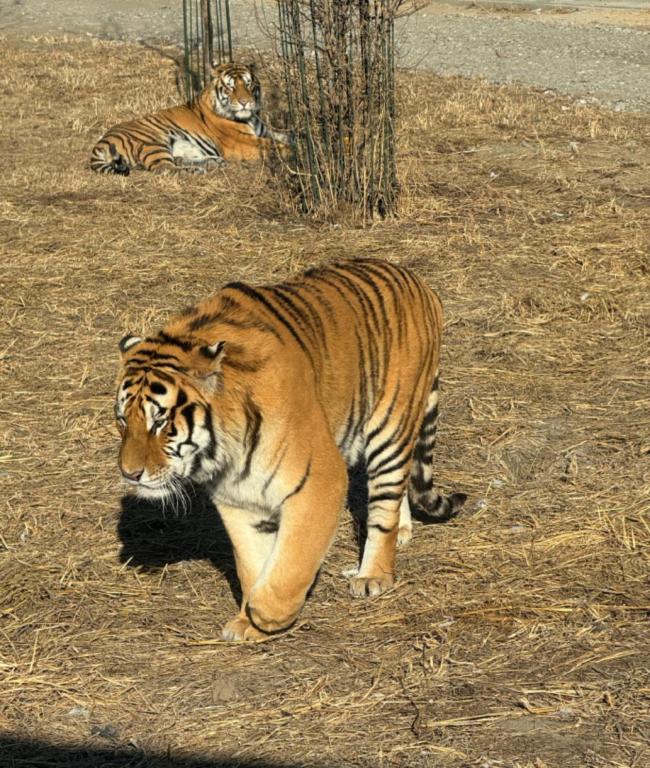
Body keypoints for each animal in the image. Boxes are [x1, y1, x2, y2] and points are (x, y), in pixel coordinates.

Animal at [90, 62, 291, 175]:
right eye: (230, 87)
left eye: (248, 84)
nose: (245, 102)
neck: (250, 118)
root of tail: (100, 142)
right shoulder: (243, 142)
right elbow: (275, 146)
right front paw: (294, 152)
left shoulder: (265, 131)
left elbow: (286, 136)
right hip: (152, 141)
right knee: (164, 169)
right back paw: (195, 170)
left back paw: (212, 162)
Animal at [115, 259, 466, 641]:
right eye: (122, 420)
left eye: (160, 422)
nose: (129, 474)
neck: (224, 453)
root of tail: (417, 282)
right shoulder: (238, 498)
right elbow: (252, 564)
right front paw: (247, 621)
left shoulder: (320, 481)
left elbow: (292, 561)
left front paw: (266, 614)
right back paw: (403, 531)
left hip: (391, 424)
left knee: (384, 502)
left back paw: (373, 574)